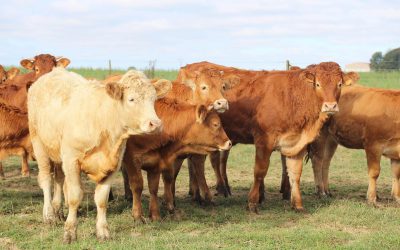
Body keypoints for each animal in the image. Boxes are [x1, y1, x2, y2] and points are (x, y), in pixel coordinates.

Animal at [27, 68, 171, 242]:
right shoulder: (71, 159)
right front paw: (70, 232)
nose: (155, 124)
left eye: (153, 99)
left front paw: (103, 231)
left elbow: (102, 199)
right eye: (131, 99)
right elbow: (75, 196)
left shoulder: (114, 164)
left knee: (59, 179)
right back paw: (48, 215)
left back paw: (58, 210)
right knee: (46, 179)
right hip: (39, 144)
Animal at [177, 61, 358, 212]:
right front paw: (252, 202)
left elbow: (295, 173)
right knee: (198, 163)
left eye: (339, 84)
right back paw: (205, 197)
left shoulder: (296, 144)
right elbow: (260, 171)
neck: (292, 97)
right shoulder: (264, 141)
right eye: (318, 84)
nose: (330, 106)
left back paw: (196, 194)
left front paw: (297, 204)